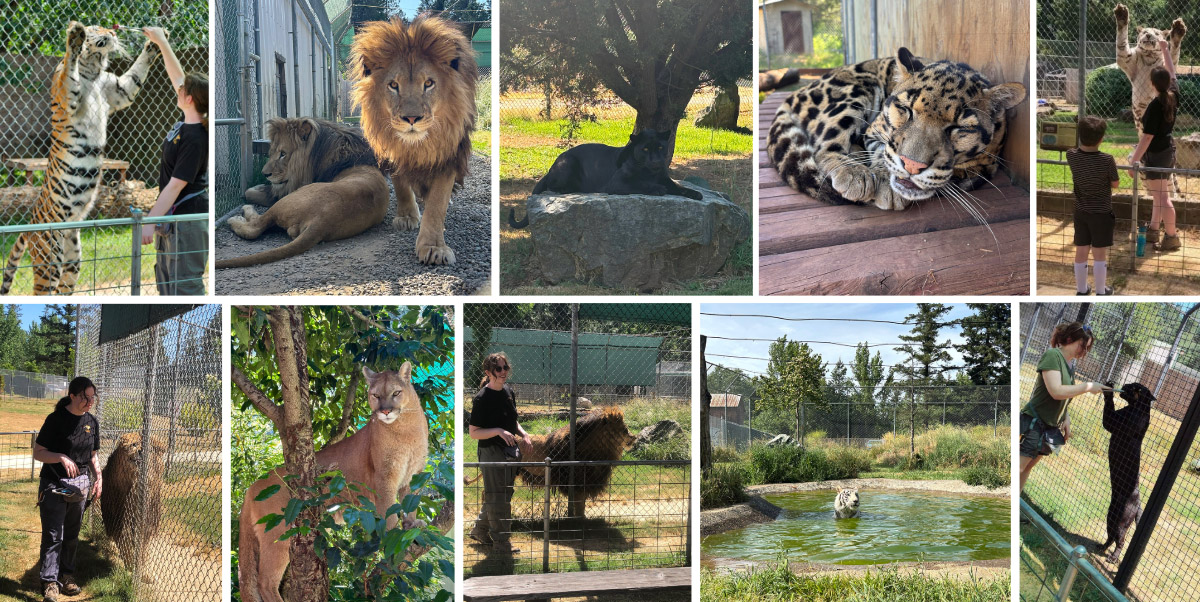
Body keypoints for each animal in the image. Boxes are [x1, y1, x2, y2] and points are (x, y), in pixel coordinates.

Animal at [0, 22, 159, 295]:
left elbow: (135, 74)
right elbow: (69, 69)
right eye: (98, 27)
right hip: (49, 258)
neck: (94, 68)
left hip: (71, 259)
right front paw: (75, 36)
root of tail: (30, 226)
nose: (113, 32)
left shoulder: (119, 91)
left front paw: (153, 45)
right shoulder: (68, 94)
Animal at [213, 116, 386, 267]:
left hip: (288, 200)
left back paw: (237, 217)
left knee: (254, 228)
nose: (264, 174)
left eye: (283, 154)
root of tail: (320, 222)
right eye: (272, 153)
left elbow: (250, 194)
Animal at [348, 15, 477, 263]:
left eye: (428, 83)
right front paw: (407, 217)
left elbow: (437, 203)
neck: (417, 145)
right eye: (393, 85)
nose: (411, 118)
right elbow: (400, 185)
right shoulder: (392, 153)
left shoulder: (449, 155)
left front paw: (434, 247)